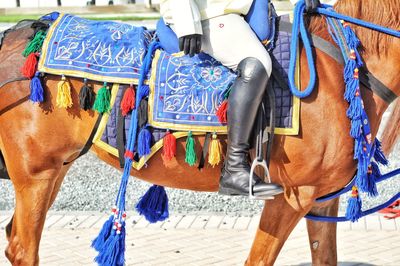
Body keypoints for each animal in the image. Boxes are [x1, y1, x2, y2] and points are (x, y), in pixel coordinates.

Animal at [0, 0, 398, 264]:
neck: (337, 68)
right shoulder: (291, 198)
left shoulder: (322, 199)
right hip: (36, 174)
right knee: (23, 247)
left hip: (55, 170)